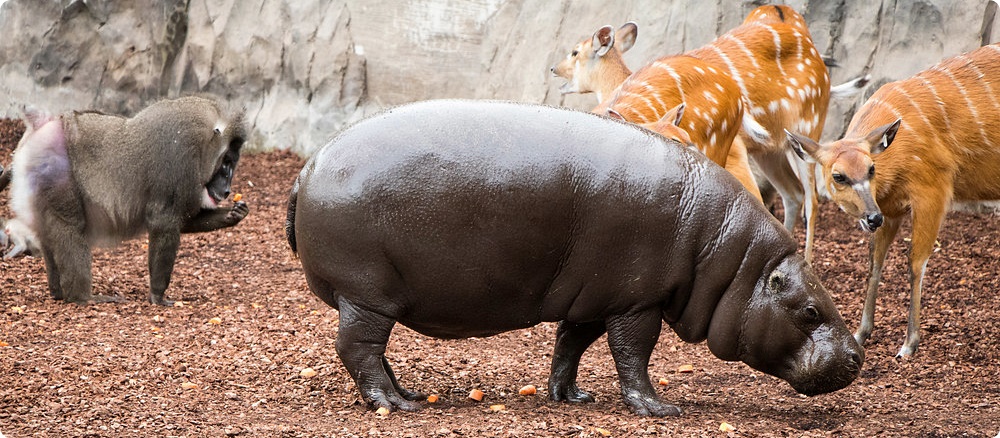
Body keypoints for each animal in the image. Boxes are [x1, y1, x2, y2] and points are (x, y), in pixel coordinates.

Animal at [8, 97, 250, 306]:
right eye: (226, 163)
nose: (226, 190)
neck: (203, 143)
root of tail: (49, 124)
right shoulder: (180, 163)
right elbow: (163, 222)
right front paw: (157, 296)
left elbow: (185, 221)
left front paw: (234, 214)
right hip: (60, 180)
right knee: (70, 229)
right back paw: (83, 297)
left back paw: (57, 292)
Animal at [284, 100, 860, 418]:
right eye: (811, 310)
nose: (857, 356)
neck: (731, 257)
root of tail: (306, 167)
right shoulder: (637, 300)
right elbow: (633, 354)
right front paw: (659, 409)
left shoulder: (595, 293)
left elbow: (571, 344)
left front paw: (571, 397)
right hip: (365, 292)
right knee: (358, 349)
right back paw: (395, 405)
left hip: (374, 297)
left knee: (372, 352)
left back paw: (408, 393)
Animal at [784, 42, 1000, 360]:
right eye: (839, 176)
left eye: (871, 168)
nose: (871, 218)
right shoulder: (891, 209)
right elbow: (874, 264)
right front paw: (860, 333)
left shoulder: (933, 192)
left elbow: (915, 263)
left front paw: (909, 344)